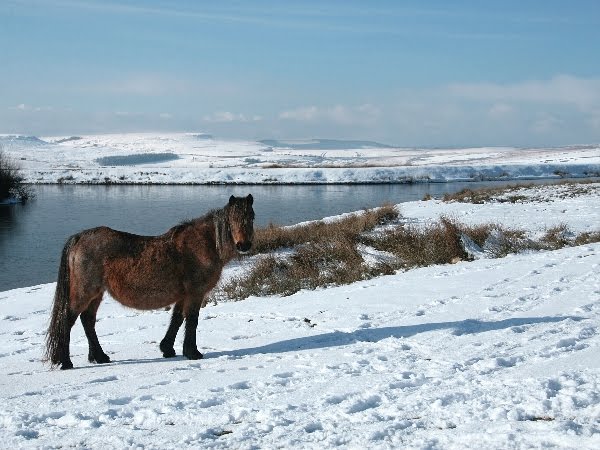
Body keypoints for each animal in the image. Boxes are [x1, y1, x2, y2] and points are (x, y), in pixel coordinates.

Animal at [44, 193, 254, 370]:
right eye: (232, 219)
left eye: (251, 217)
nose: (243, 245)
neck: (205, 243)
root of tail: (79, 237)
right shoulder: (195, 293)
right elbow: (192, 320)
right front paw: (192, 352)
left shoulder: (183, 295)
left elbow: (177, 319)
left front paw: (167, 349)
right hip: (85, 292)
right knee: (67, 320)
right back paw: (66, 362)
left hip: (97, 293)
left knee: (87, 321)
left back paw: (100, 356)